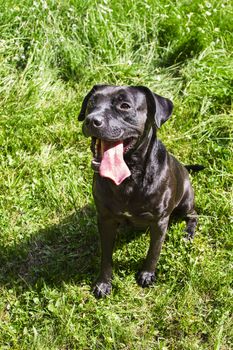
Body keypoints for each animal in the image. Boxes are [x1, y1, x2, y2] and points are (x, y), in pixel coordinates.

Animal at [78, 85, 202, 298]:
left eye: (124, 106)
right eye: (92, 102)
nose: (91, 120)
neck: (129, 177)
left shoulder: (160, 221)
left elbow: (154, 251)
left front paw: (147, 274)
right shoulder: (105, 219)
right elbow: (106, 255)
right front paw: (103, 283)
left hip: (185, 202)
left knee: (193, 214)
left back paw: (187, 234)